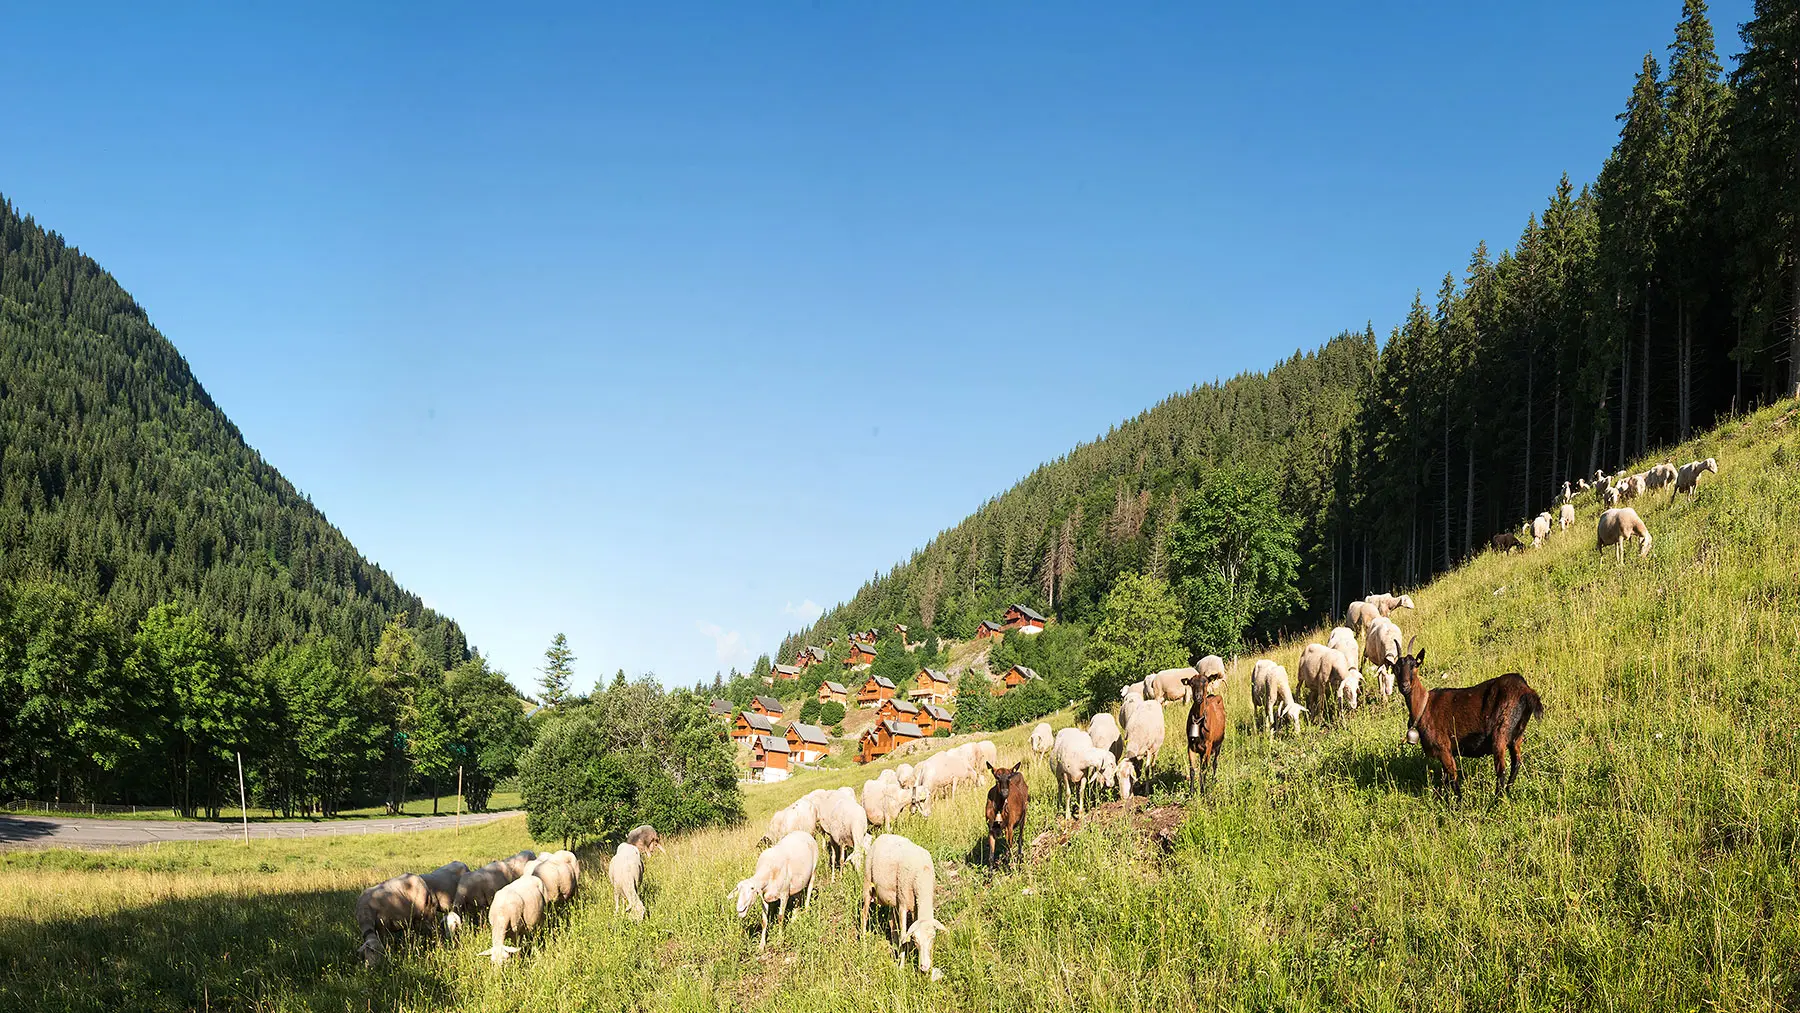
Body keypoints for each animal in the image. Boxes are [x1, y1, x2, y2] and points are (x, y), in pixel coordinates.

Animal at [860, 831, 950, 986]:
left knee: (891, 922)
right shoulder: (903, 904)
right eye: (916, 940)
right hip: (868, 884)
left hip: (892, 899)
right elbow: (904, 935)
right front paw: (902, 967)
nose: (924, 966)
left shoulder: (915, 908)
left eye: (933, 937)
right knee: (864, 914)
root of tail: (883, 835)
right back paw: (864, 944)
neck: (922, 875)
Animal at [1389, 647, 1548, 806]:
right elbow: (1446, 779)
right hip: (1517, 735)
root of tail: (1526, 690)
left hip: (1500, 732)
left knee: (1501, 770)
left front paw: (1459, 804)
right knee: (1516, 763)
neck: (1424, 706)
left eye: (1414, 665)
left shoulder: (1443, 748)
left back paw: (1495, 803)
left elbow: (1452, 776)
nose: (1404, 686)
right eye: (1396, 668)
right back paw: (1507, 793)